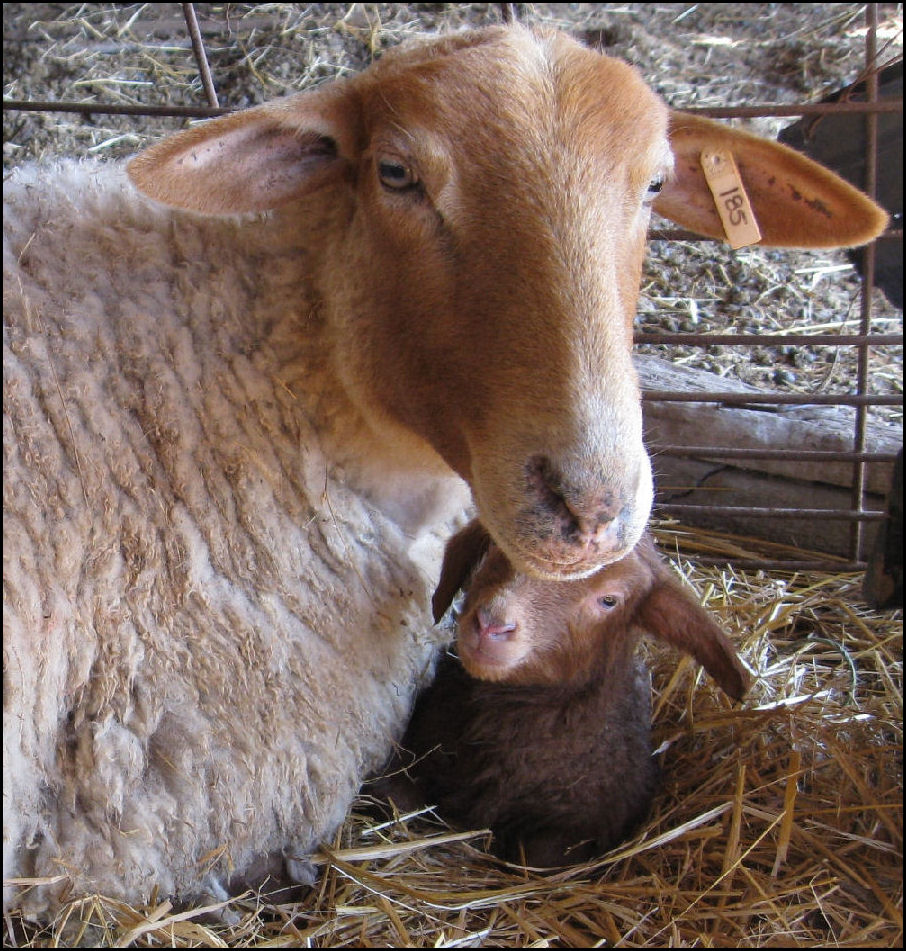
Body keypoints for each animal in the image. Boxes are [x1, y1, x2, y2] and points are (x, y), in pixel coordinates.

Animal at [368, 521, 749, 867]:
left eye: (609, 600)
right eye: (499, 550)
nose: (491, 624)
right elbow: (396, 795)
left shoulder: (585, 826)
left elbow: (540, 857)